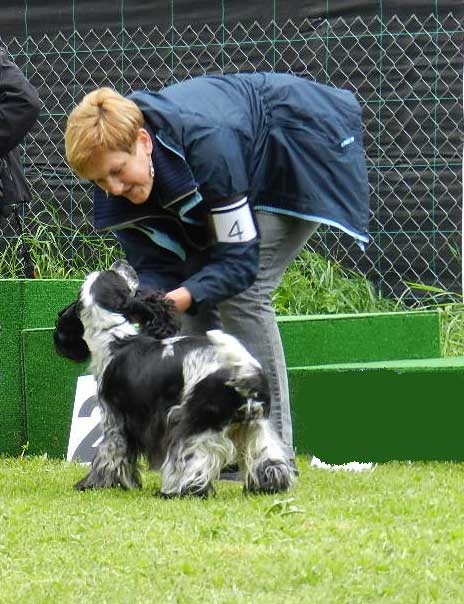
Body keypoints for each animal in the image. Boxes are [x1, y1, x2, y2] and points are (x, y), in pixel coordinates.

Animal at [54, 260, 295, 497]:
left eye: (114, 274)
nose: (122, 263)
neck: (114, 337)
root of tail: (242, 372)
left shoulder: (115, 420)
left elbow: (109, 455)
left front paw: (95, 484)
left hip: (194, 427)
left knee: (194, 465)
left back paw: (177, 491)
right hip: (257, 424)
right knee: (269, 459)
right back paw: (268, 486)